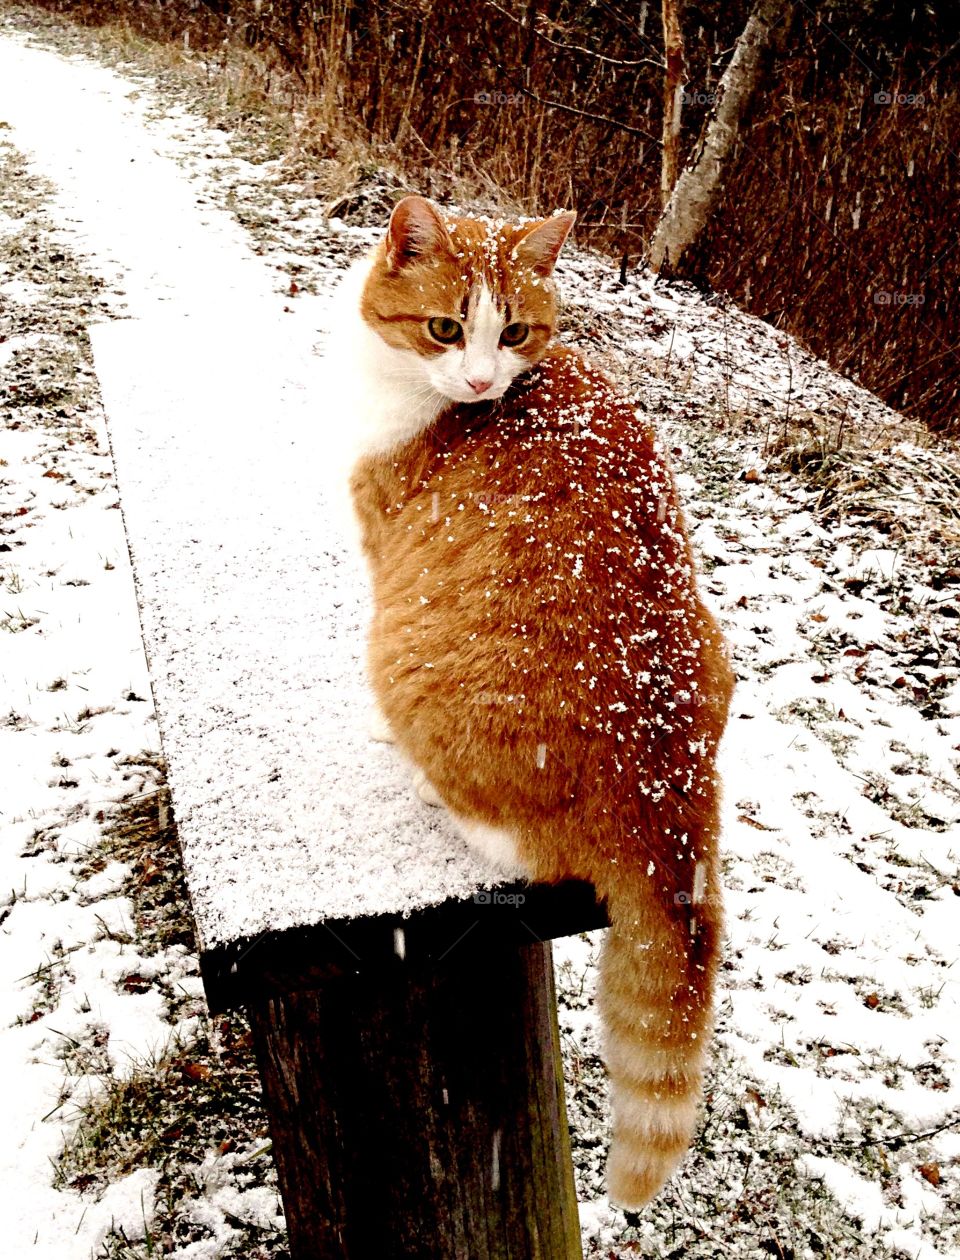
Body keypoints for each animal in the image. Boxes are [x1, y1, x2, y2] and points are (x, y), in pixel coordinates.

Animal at [330, 196, 730, 1209]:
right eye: (446, 328)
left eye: (512, 333)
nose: (480, 380)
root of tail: (667, 816)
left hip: (407, 666)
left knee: (519, 848)